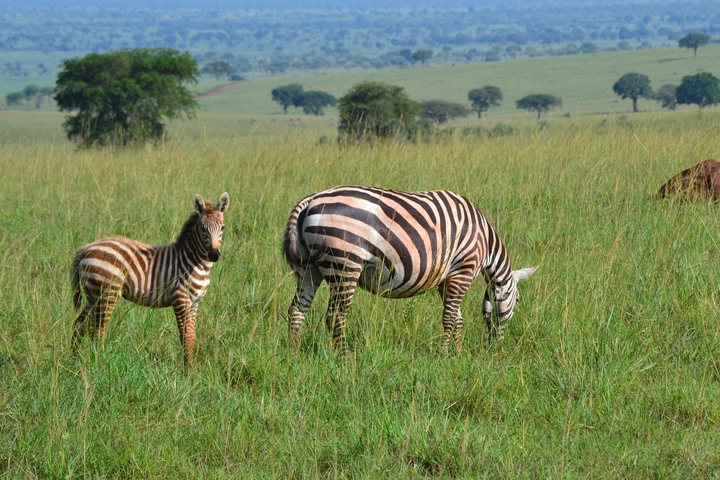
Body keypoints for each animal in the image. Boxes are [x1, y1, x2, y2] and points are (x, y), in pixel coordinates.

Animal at [71, 193, 229, 366]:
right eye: (202, 228)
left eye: (222, 227)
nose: (214, 255)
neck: (193, 261)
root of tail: (87, 248)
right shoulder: (180, 299)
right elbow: (185, 336)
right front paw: (186, 370)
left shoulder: (195, 303)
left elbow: (192, 337)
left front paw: (191, 367)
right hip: (107, 294)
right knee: (97, 330)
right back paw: (99, 362)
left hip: (93, 295)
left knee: (79, 324)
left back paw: (74, 359)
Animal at [282, 185, 536, 356]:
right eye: (518, 300)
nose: (497, 347)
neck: (486, 243)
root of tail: (310, 200)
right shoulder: (463, 269)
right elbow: (449, 317)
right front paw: (444, 356)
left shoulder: (447, 276)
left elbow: (457, 318)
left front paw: (458, 353)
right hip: (346, 263)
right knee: (335, 315)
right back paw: (345, 357)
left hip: (309, 268)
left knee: (297, 310)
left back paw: (294, 353)